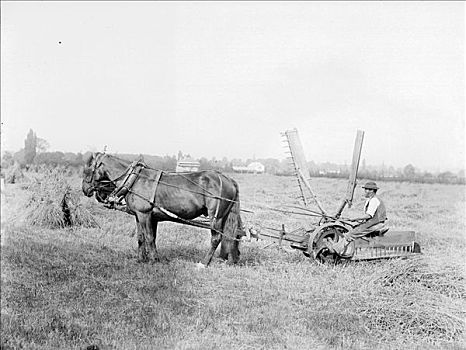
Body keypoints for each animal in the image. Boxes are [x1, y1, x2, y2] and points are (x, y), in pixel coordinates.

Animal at [82, 152, 246, 266]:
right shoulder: (140, 215)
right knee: (230, 235)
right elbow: (141, 237)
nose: (85, 190)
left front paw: (154, 259)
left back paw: (204, 263)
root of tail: (228, 179)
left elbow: (149, 237)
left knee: (216, 237)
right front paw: (141, 259)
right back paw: (229, 258)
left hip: (216, 216)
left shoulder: (145, 214)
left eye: (87, 170)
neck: (135, 179)